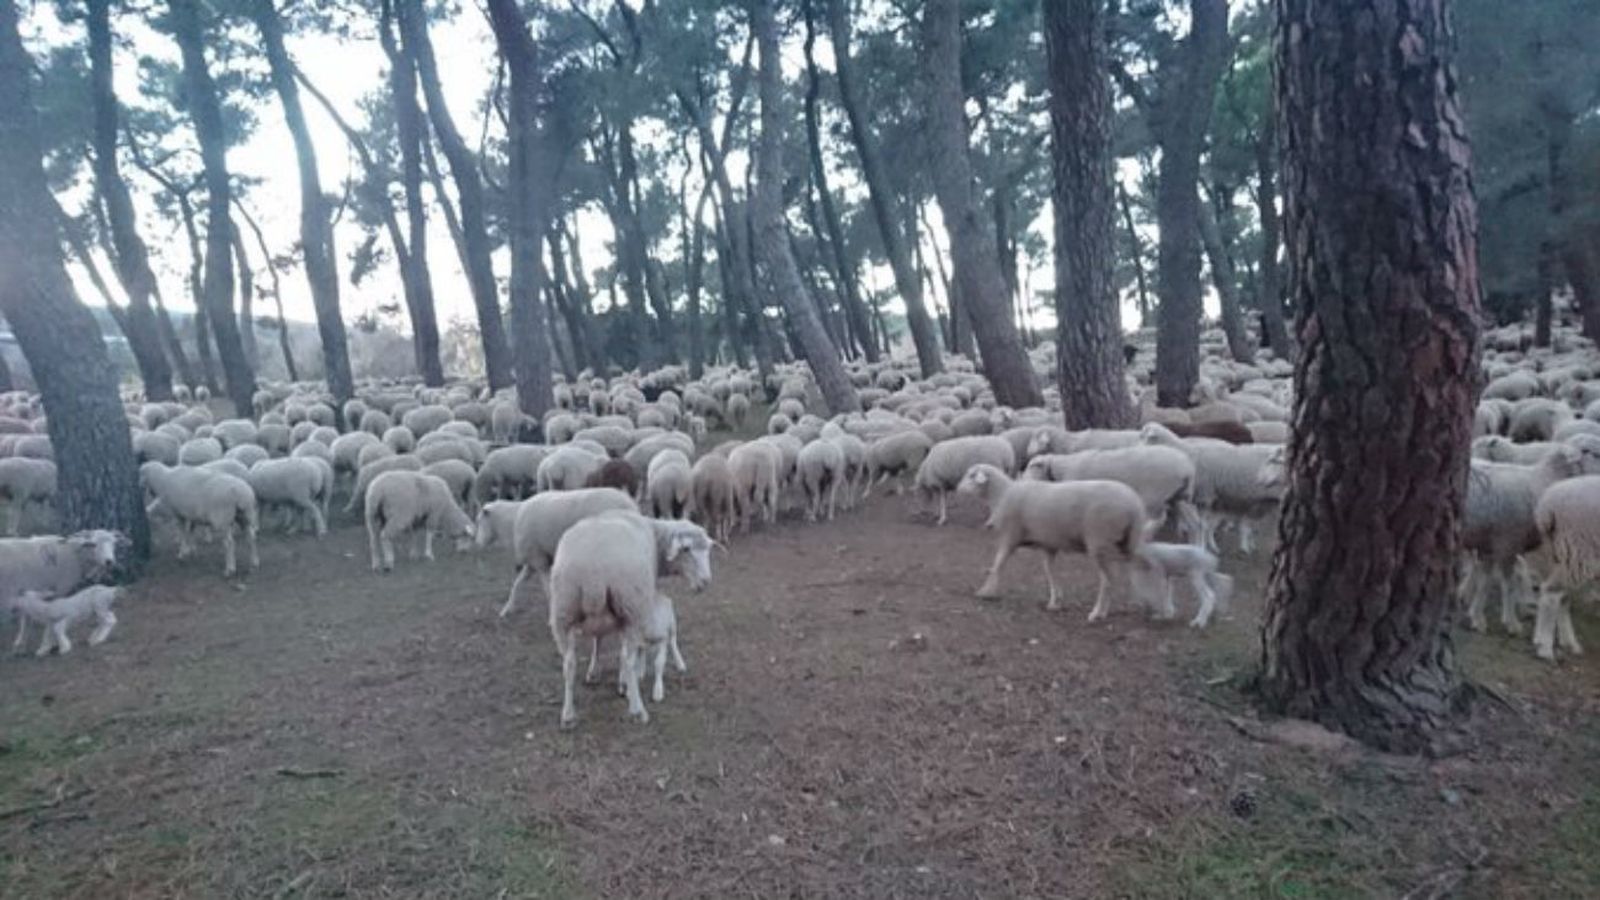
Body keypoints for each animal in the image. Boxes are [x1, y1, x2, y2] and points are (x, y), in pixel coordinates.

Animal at [500, 488, 639, 617]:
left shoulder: (538, 559)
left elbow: (547, 589)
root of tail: (627, 503)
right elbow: (518, 583)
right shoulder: (535, 562)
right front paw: (507, 609)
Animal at [547, 511, 713, 727]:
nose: (706, 582)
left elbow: (598, 640)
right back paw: (637, 709)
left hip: (562, 612)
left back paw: (567, 715)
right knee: (628, 660)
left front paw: (594, 672)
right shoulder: (634, 608)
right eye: (686, 549)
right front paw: (625, 682)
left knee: (569, 663)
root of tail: (594, 569)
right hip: (630, 605)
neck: (656, 536)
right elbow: (625, 652)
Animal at [957, 464, 1149, 619]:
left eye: (971, 475)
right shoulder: (1049, 545)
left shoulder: (1010, 536)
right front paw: (1055, 600)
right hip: (1123, 543)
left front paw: (986, 592)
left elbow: (998, 564)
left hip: (1099, 541)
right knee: (1124, 574)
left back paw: (1097, 613)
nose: (958, 488)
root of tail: (1134, 505)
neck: (1003, 494)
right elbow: (1049, 572)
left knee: (1107, 581)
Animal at [1023, 445, 1202, 543]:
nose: (1022, 480)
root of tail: (1187, 468)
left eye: (1033, 466)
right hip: (1180, 497)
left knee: (1156, 520)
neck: (1060, 470)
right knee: (1195, 524)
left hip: (1155, 496)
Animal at [1530, 475, 1600, 660]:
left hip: (1558, 555)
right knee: (1552, 595)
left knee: (1559, 597)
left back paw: (1564, 642)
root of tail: (1547, 506)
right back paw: (1545, 649)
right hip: (1577, 553)